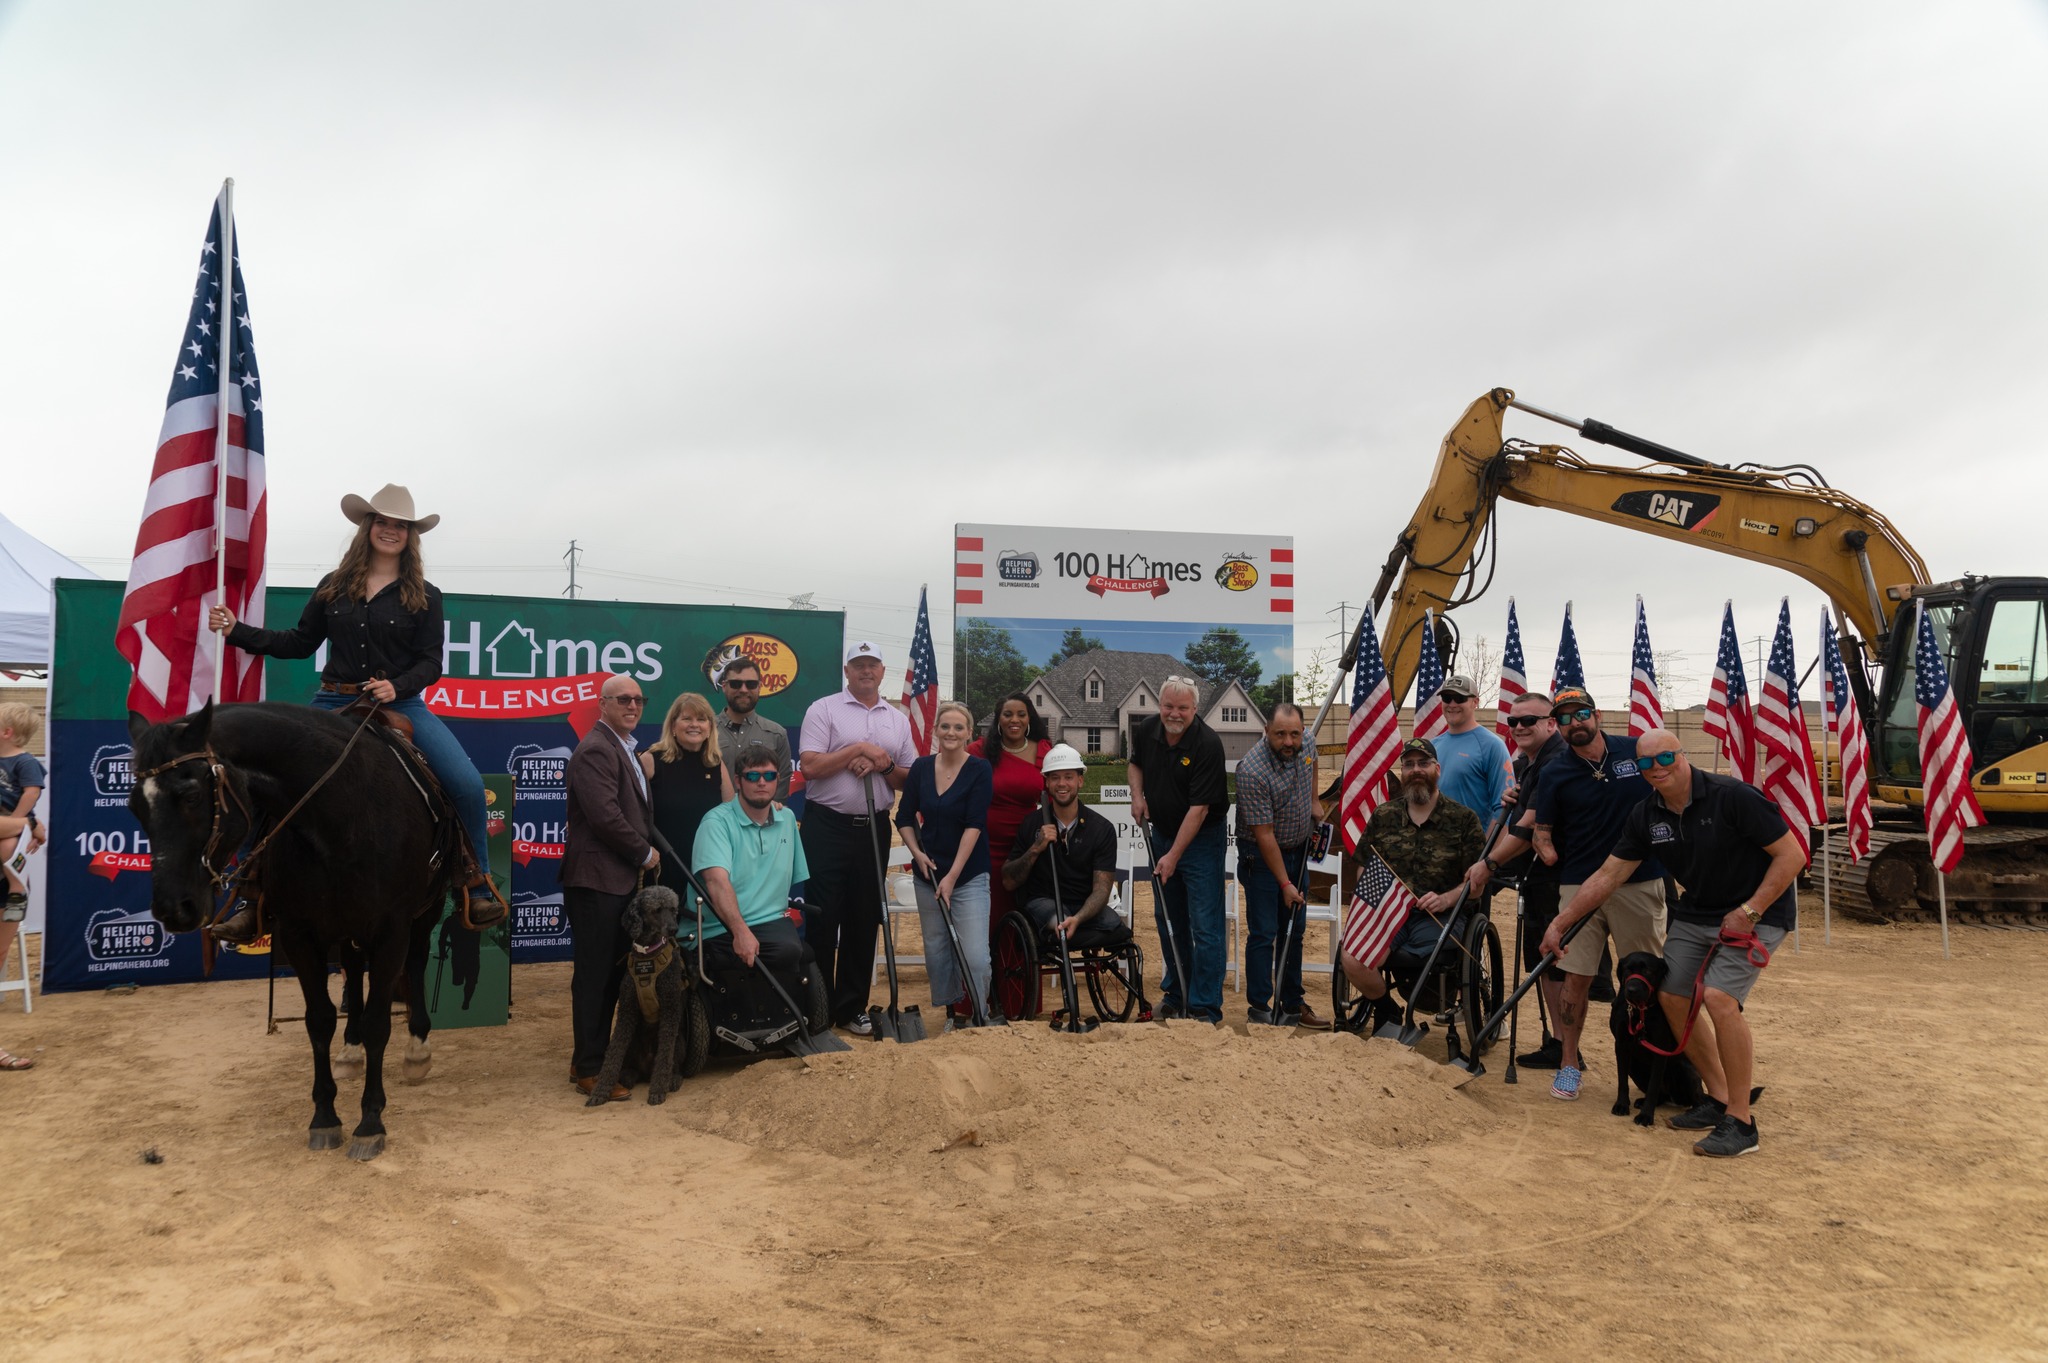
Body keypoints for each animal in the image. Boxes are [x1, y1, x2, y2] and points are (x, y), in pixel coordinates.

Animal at [132, 699, 460, 1154]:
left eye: (192, 795)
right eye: (135, 806)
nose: (172, 909)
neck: (342, 817)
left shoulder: (391, 930)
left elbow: (379, 1022)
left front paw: (370, 1122)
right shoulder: (300, 934)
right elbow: (319, 1020)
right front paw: (324, 1117)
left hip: (422, 913)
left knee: (413, 964)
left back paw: (416, 1049)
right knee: (353, 972)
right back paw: (350, 1051)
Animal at [589, 880, 692, 1105]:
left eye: (673, 909)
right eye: (657, 910)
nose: (674, 929)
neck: (649, 954)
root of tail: (646, 1070)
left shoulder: (670, 1009)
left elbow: (665, 1056)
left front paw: (658, 1090)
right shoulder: (627, 1010)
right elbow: (614, 1053)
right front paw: (600, 1092)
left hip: (680, 1042)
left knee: (672, 1062)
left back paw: (673, 1079)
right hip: (634, 1044)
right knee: (630, 1067)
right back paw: (627, 1076)